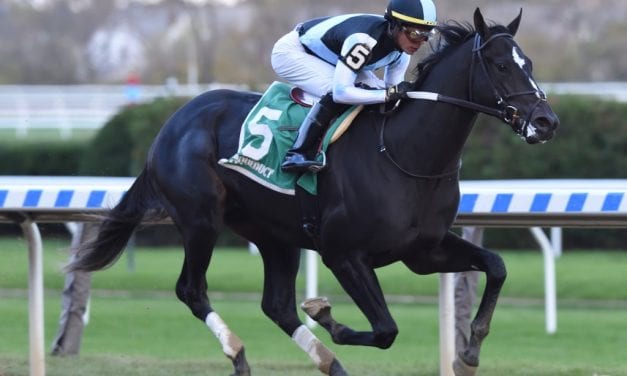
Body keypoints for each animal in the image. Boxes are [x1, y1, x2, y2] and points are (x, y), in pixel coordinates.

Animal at [68, 8, 560, 376]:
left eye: (531, 64)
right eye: (501, 65)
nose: (546, 121)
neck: (407, 155)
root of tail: (172, 123)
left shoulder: (424, 250)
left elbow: (496, 266)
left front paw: (470, 351)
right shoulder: (344, 254)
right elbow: (386, 330)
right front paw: (327, 317)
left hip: (274, 235)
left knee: (277, 306)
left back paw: (329, 363)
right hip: (200, 220)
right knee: (192, 290)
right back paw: (239, 353)